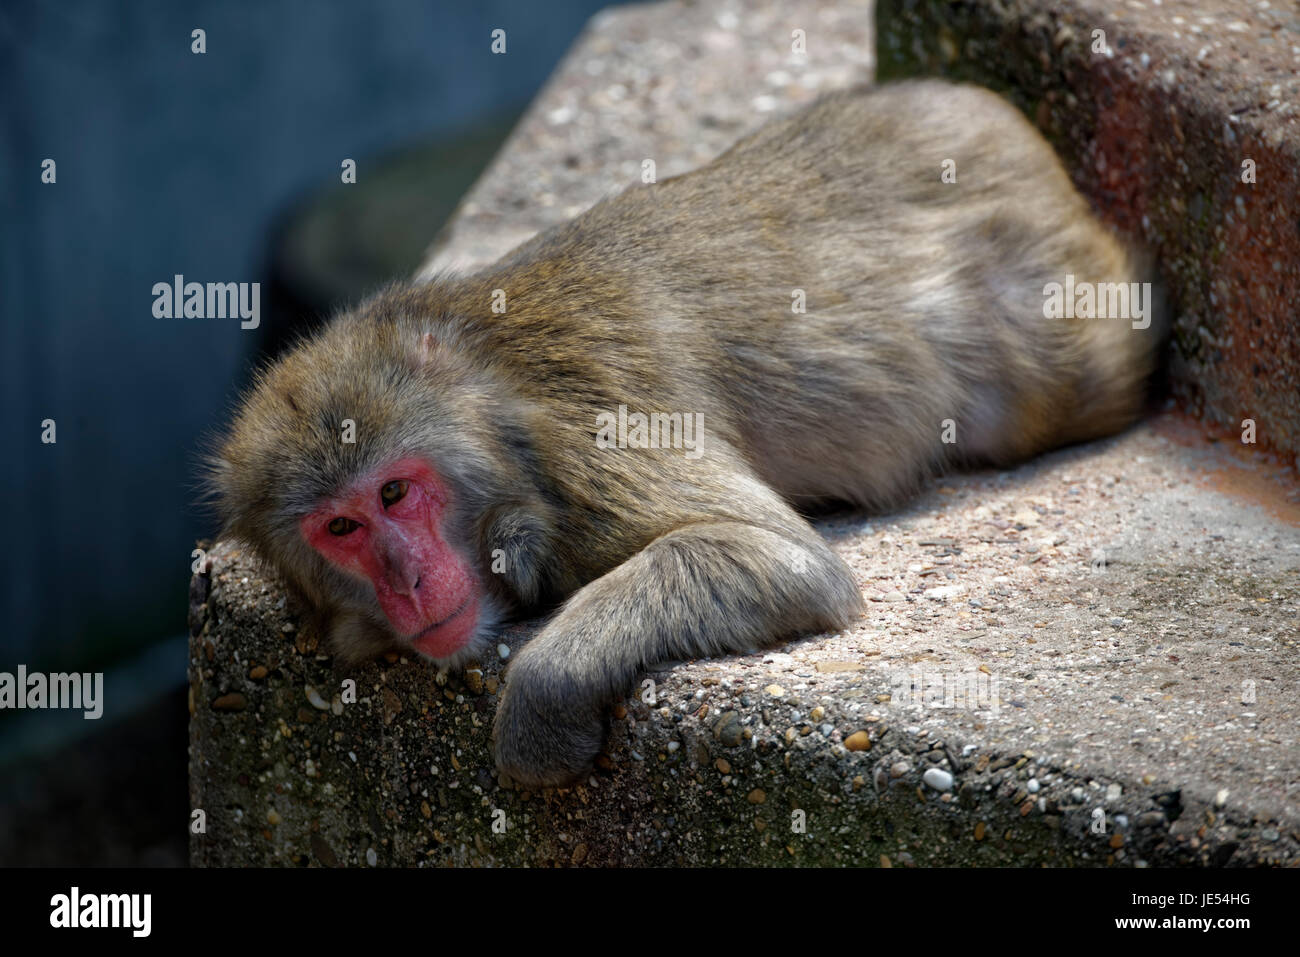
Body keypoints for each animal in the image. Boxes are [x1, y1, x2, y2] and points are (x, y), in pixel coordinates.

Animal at [213, 80, 1159, 785]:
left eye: (396, 490)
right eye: (342, 526)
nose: (407, 582)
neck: (495, 407)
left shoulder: (595, 443)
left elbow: (778, 557)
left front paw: (541, 703)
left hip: (1053, 323)